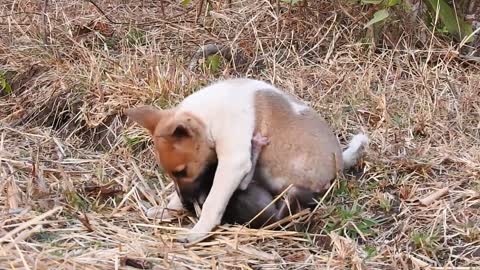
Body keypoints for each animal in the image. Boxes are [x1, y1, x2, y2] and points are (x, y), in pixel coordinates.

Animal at [126, 77, 368, 243]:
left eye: (182, 171)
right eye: (173, 174)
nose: (187, 205)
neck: (208, 118)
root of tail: (341, 159)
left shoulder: (234, 164)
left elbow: (213, 201)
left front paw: (198, 230)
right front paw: (167, 209)